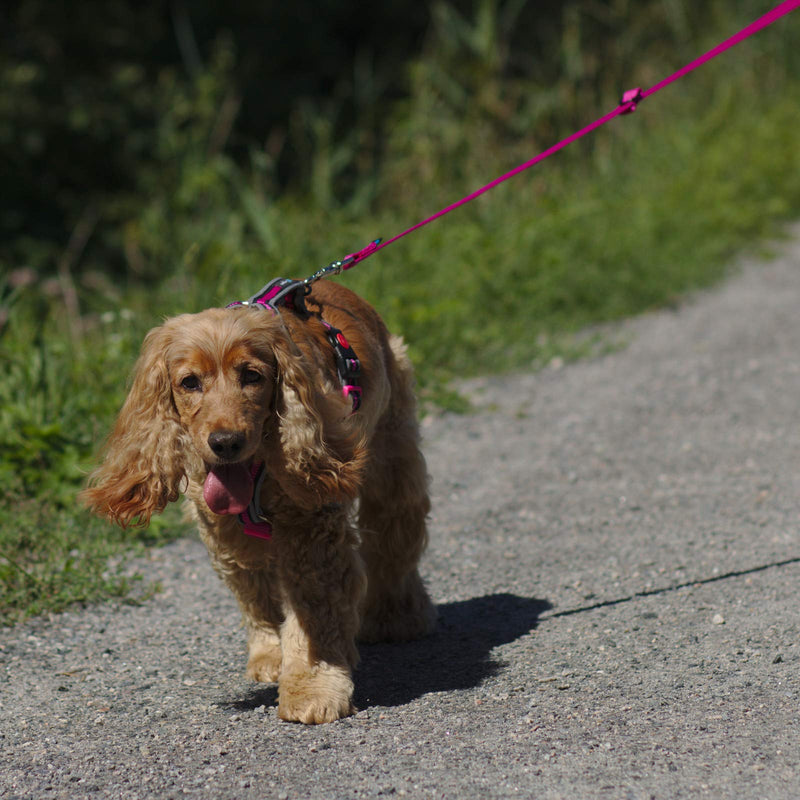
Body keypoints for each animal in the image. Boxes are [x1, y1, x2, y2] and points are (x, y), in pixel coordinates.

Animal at [82, 280, 434, 724]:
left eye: (252, 376)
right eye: (189, 382)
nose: (225, 442)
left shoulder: (311, 525)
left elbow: (315, 610)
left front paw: (312, 688)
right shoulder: (222, 528)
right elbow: (256, 595)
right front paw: (272, 656)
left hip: (392, 459)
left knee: (395, 540)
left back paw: (397, 616)